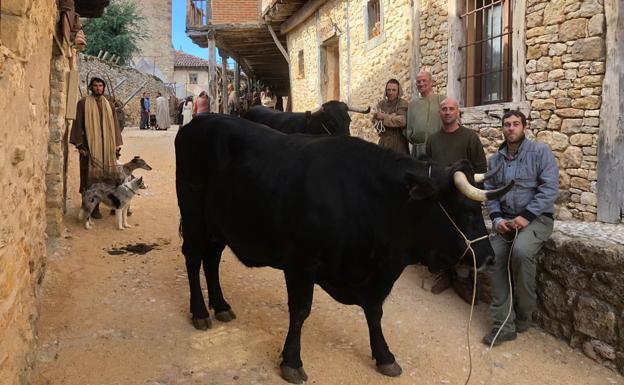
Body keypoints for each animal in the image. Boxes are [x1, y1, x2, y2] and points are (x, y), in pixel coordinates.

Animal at [174, 113, 512, 380]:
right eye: (466, 209)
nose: (489, 258)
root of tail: (198, 121)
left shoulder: (375, 276)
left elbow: (374, 313)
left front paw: (384, 356)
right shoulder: (300, 263)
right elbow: (300, 311)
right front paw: (292, 361)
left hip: (218, 226)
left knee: (212, 260)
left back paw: (221, 306)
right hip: (193, 217)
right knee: (193, 258)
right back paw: (200, 312)